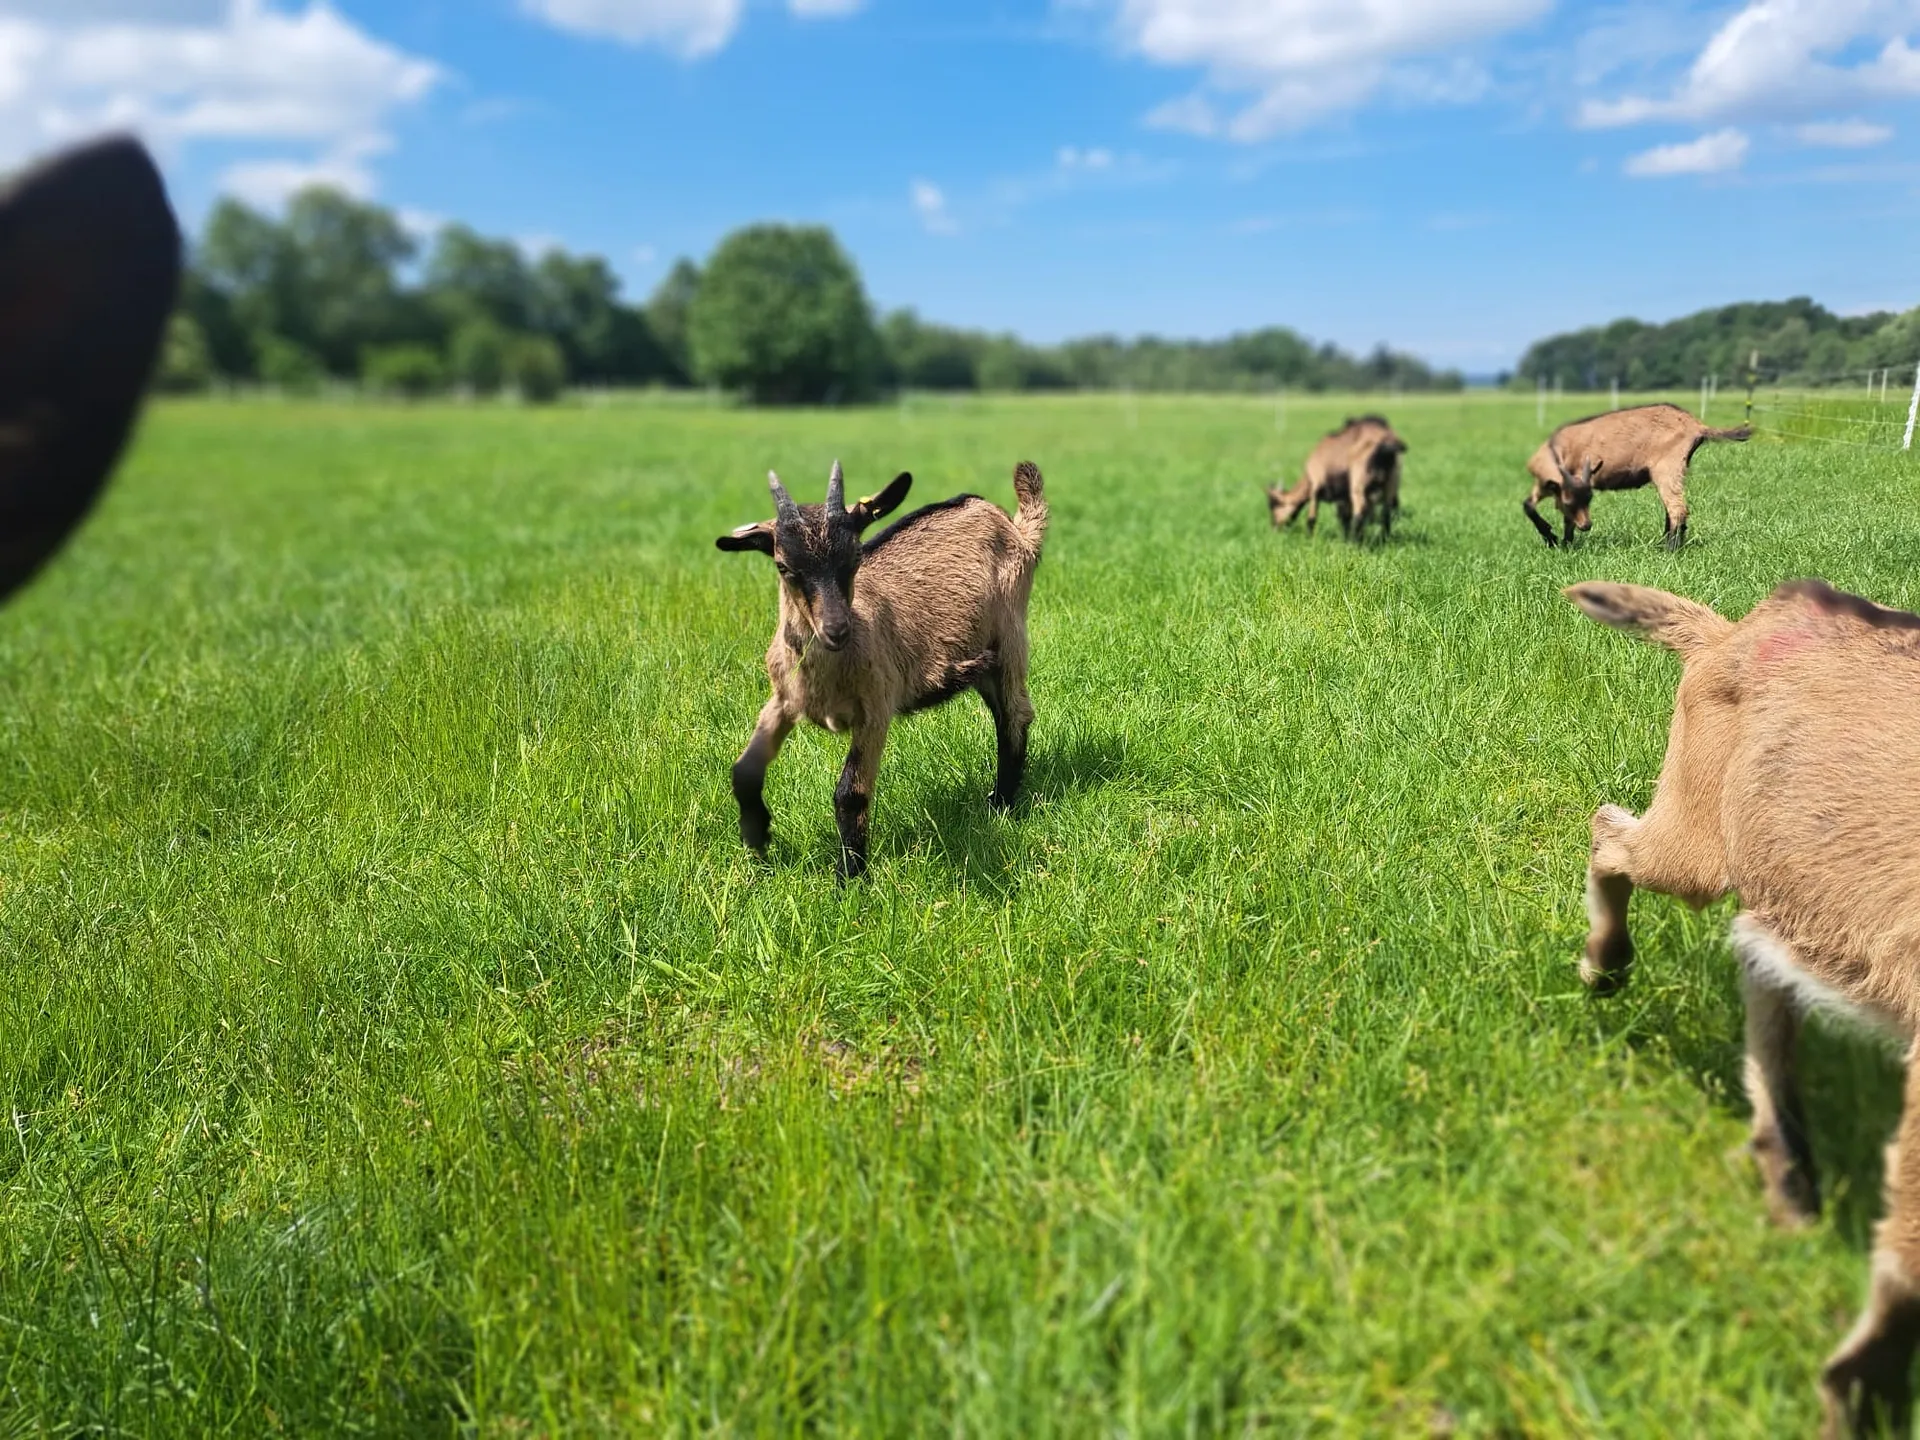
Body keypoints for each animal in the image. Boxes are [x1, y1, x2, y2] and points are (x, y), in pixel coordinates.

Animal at [716, 459, 1047, 878]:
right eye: (784, 566)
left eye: (856, 557)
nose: (836, 628)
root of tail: (1015, 527)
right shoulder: (783, 700)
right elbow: (743, 771)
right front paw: (757, 840)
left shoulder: (876, 708)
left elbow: (850, 793)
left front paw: (850, 876)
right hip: (983, 662)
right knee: (1005, 714)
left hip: (1010, 638)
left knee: (1015, 715)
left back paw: (1001, 804)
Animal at [1267, 414, 1406, 540]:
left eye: (1273, 505)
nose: (1274, 528)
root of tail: (1387, 445)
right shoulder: (1343, 496)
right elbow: (1344, 516)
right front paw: (1345, 537)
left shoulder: (1315, 487)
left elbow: (1312, 518)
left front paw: (1309, 538)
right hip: (1391, 481)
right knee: (1386, 512)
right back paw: (1384, 539)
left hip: (1359, 482)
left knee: (1360, 513)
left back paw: (1355, 542)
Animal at [1524, 402, 1749, 550]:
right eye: (1571, 502)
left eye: (1589, 500)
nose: (1587, 526)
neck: (1556, 450)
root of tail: (1697, 425)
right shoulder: (1547, 486)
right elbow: (1529, 505)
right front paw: (1557, 541)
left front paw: (1561, 542)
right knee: (1672, 508)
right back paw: (1664, 543)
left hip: (1668, 467)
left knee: (1677, 508)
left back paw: (1669, 550)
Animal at [1567, 577, 1920, 1436]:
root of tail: (1731, 633)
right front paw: (1855, 1395)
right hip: (1695, 838)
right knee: (1607, 830)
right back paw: (1602, 965)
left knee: (1760, 964)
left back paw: (1788, 1174)